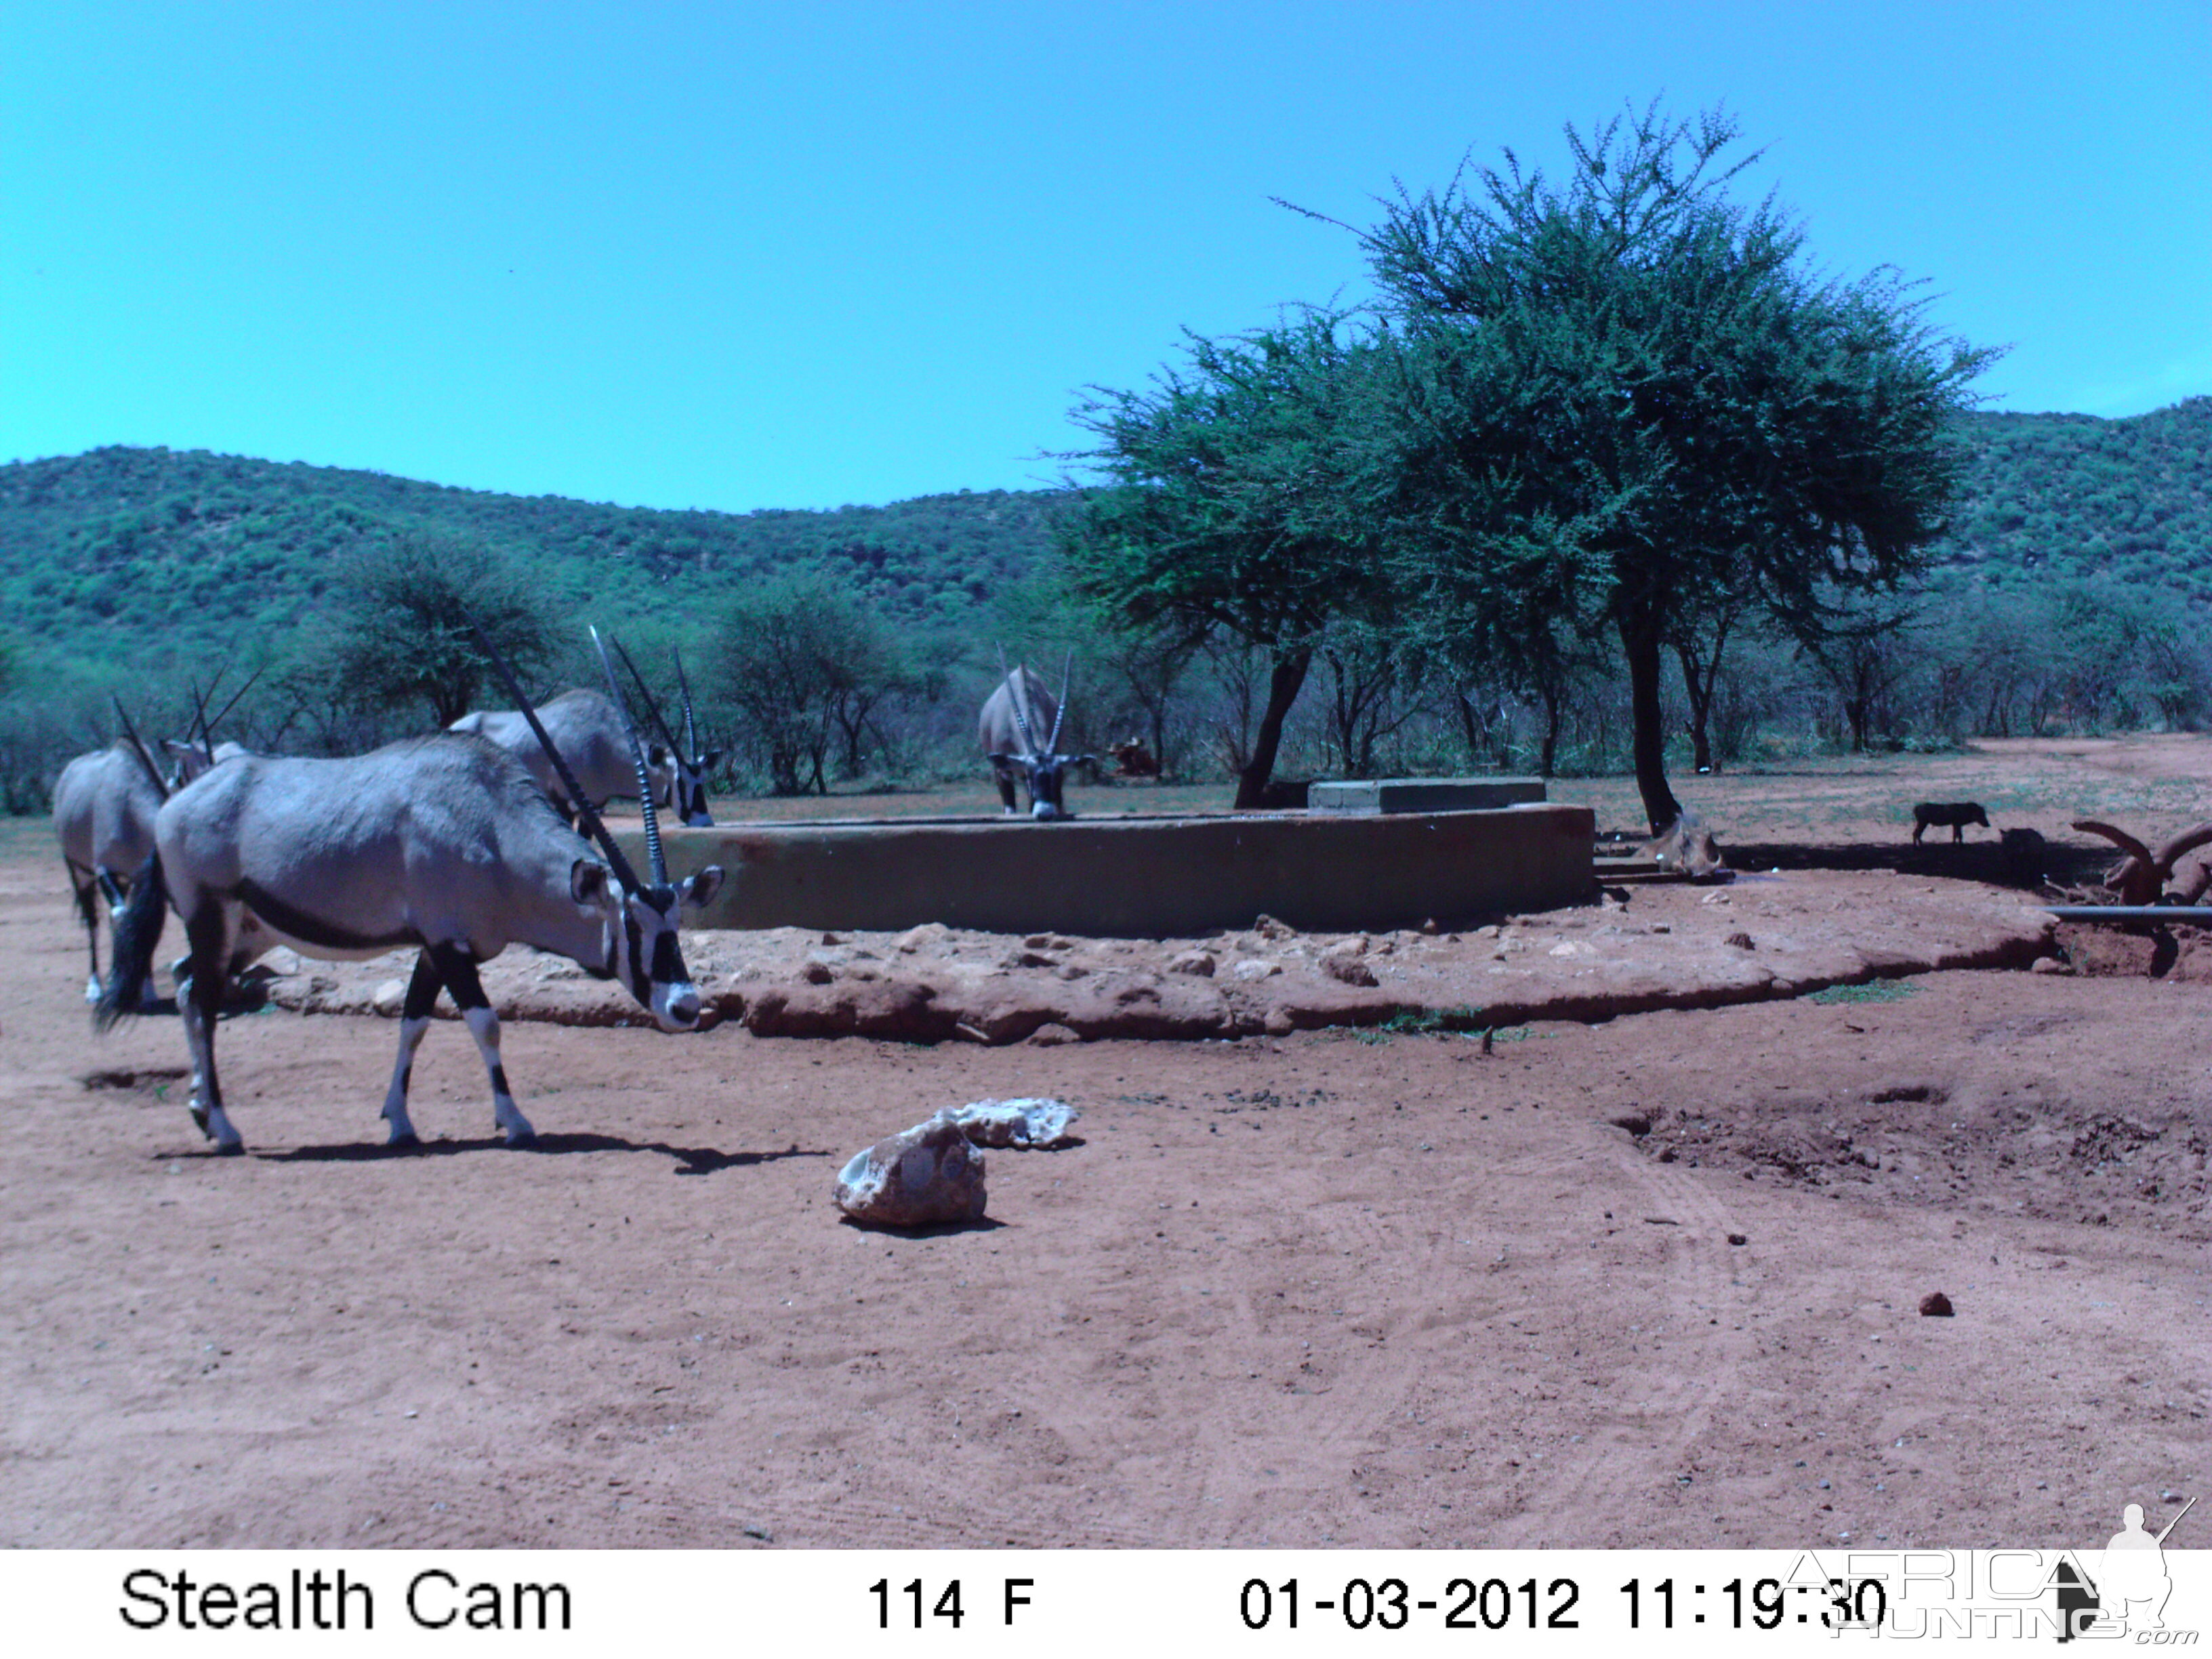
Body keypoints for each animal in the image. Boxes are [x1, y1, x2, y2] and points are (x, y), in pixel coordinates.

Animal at [97, 628, 725, 1159]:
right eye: (633, 926)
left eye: (676, 925)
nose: (684, 1006)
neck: (490, 824)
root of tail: (177, 802)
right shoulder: (449, 945)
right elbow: (485, 1023)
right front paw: (515, 1122)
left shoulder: (433, 948)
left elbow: (414, 1024)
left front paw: (399, 1122)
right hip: (211, 916)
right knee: (202, 999)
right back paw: (226, 1129)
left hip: (248, 934)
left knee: (185, 984)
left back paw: (202, 1110)